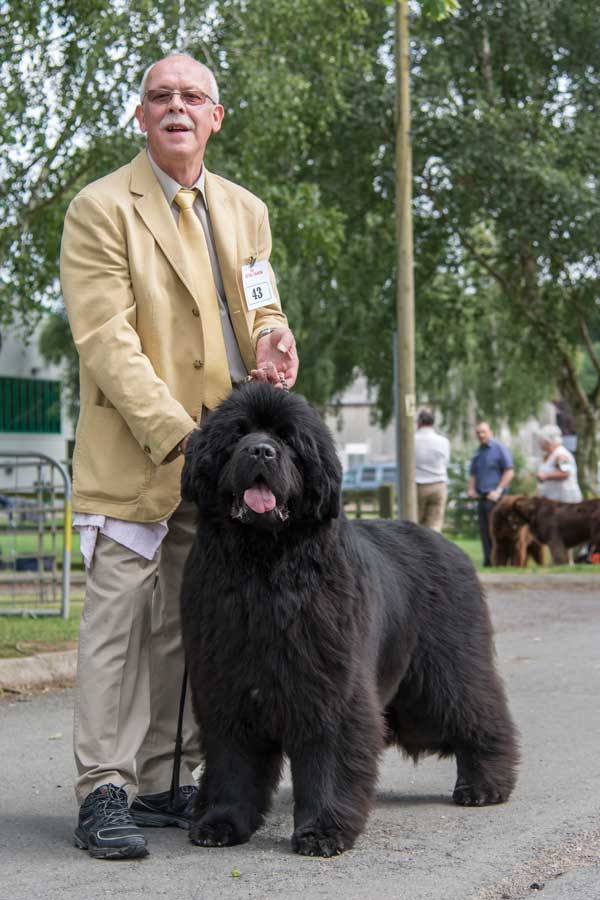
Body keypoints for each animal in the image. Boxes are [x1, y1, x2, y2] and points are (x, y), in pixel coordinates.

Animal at [180, 382, 516, 856]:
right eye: (238, 435)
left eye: (288, 439)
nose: (262, 451)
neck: (263, 564)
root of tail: (450, 545)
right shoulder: (226, 683)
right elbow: (231, 760)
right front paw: (220, 822)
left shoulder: (329, 684)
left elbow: (329, 753)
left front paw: (323, 830)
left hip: (445, 671)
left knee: (477, 710)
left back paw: (485, 784)